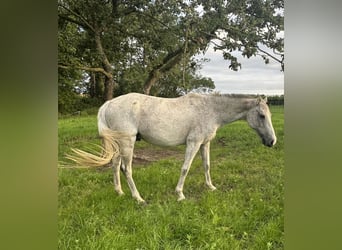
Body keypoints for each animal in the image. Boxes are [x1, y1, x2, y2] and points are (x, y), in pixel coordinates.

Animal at [68, 92, 276, 203]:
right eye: (262, 116)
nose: (272, 142)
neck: (211, 110)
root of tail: (109, 103)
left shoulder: (205, 143)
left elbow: (207, 166)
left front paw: (211, 187)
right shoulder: (193, 143)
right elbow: (185, 168)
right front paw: (180, 194)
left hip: (119, 144)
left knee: (115, 165)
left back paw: (119, 192)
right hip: (128, 143)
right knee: (126, 168)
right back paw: (138, 198)